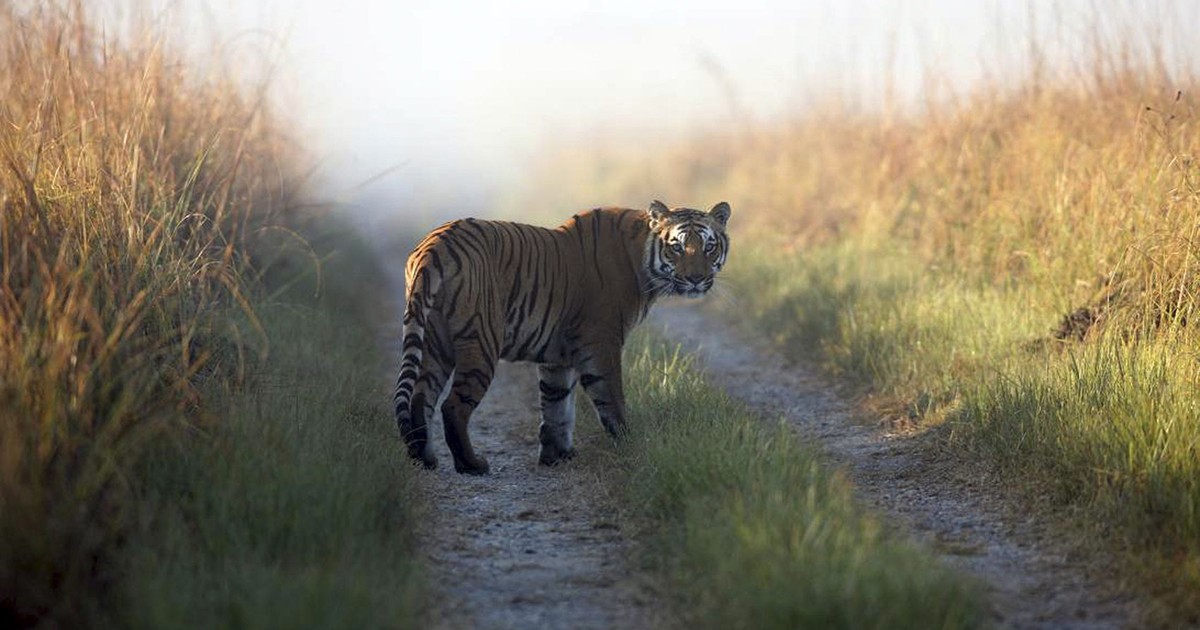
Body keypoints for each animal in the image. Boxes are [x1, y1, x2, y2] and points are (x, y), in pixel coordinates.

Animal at [393, 200, 729, 470]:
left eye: (709, 246)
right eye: (676, 246)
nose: (696, 279)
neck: (642, 259)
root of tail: (433, 247)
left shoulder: (558, 356)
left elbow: (557, 404)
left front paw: (557, 456)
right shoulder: (602, 343)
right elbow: (611, 400)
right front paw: (630, 445)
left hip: (435, 342)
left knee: (421, 397)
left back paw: (425, 458)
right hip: (481, 342)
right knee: (453, 406)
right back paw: (471, 465)